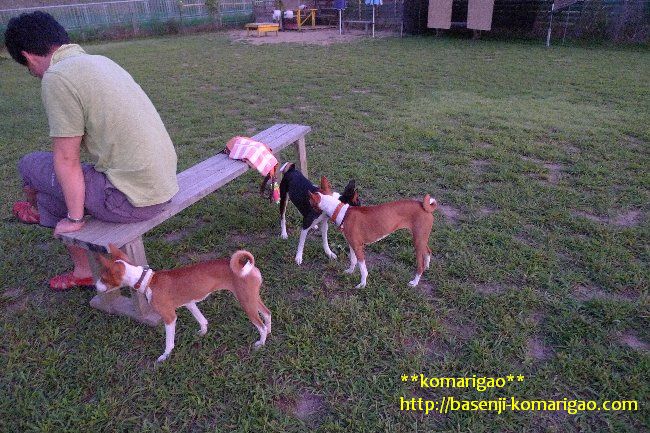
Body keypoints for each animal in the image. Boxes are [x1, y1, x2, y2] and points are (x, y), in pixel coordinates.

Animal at [96, 244, 271, 363]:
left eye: (103, 278)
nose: (95, 286)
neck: (148, 280)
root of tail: (246, 265)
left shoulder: (169, 317)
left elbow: (169, 342)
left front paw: (165, 356)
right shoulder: (190, 303)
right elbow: (202, 320)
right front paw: (202, 333)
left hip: (246, 302)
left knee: (260, 325)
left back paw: (261, 343)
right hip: (252, 298)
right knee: (267, 313)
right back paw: (269, 332)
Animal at [309, 177, 437, 288]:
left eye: (310, 202)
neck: (342, 211)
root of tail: (424, 206)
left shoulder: (358, 247)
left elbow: (363, 269)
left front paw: (362, 284)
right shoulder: (352, 245)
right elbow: (353, 260)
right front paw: (350, 271)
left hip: (417, 241)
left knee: (420, 265)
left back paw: (415, 282)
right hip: (421, 238)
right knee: (428, 251)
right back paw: (427, 266)